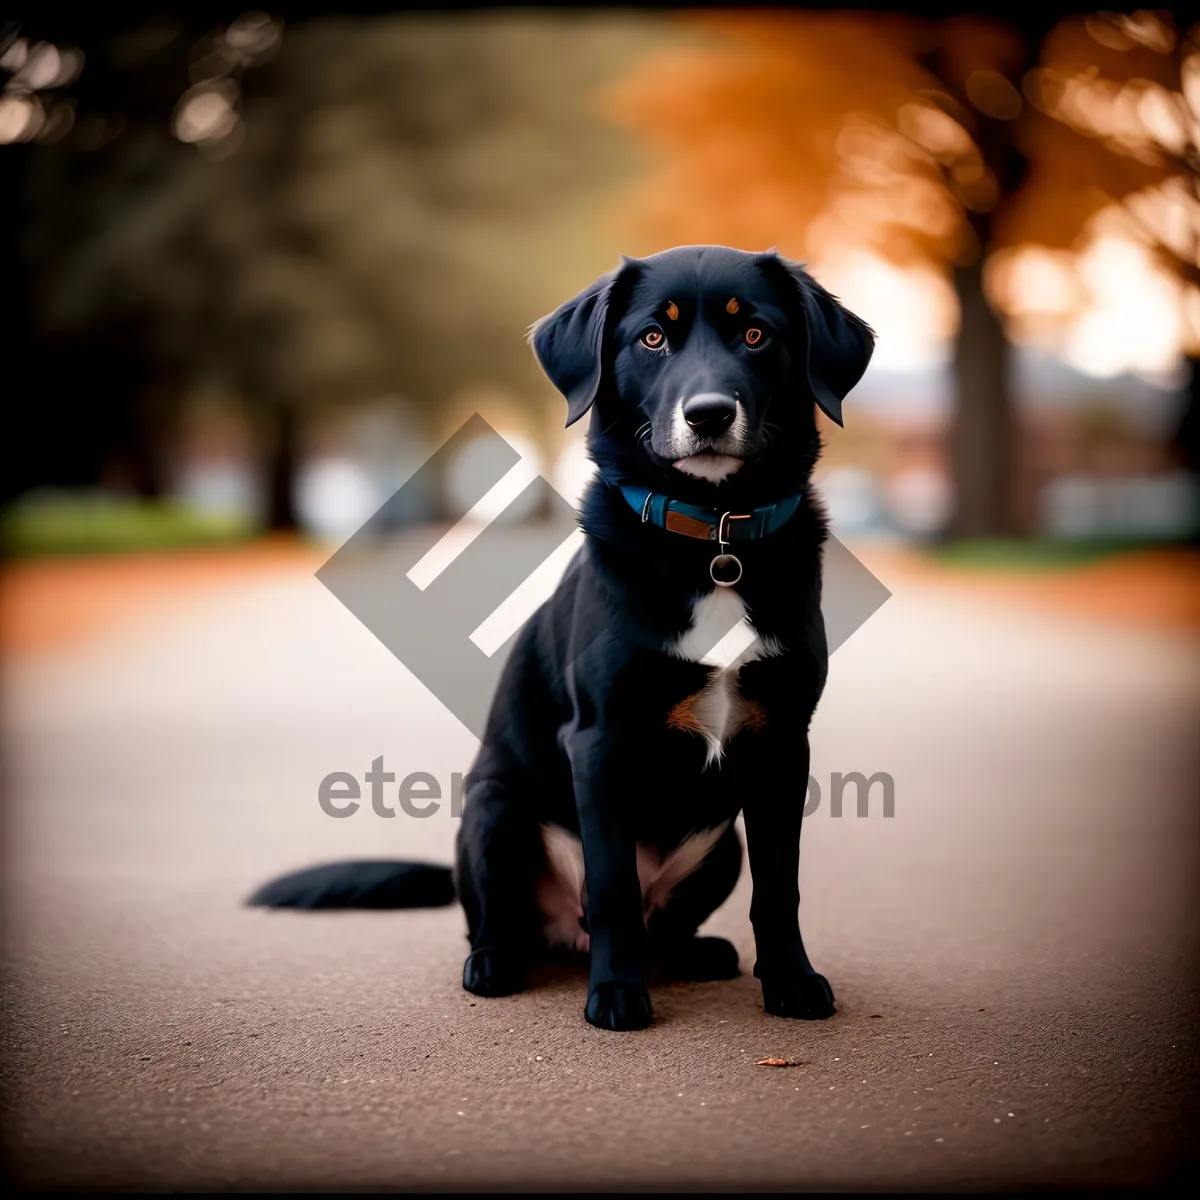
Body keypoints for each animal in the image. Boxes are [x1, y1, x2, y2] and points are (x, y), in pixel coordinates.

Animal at [250, 243, 873, 1032]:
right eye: (652, 337)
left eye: (756, 335)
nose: (707, 414)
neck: (715, 540)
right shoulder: (601, 740)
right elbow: (610, 886)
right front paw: (617, 994)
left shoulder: (784, 742)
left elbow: (780, 886)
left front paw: (791, 980)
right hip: (494, 810)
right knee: (503, 922)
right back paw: (497, 964)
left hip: (721, 845)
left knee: (669, 926)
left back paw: (698, 953)